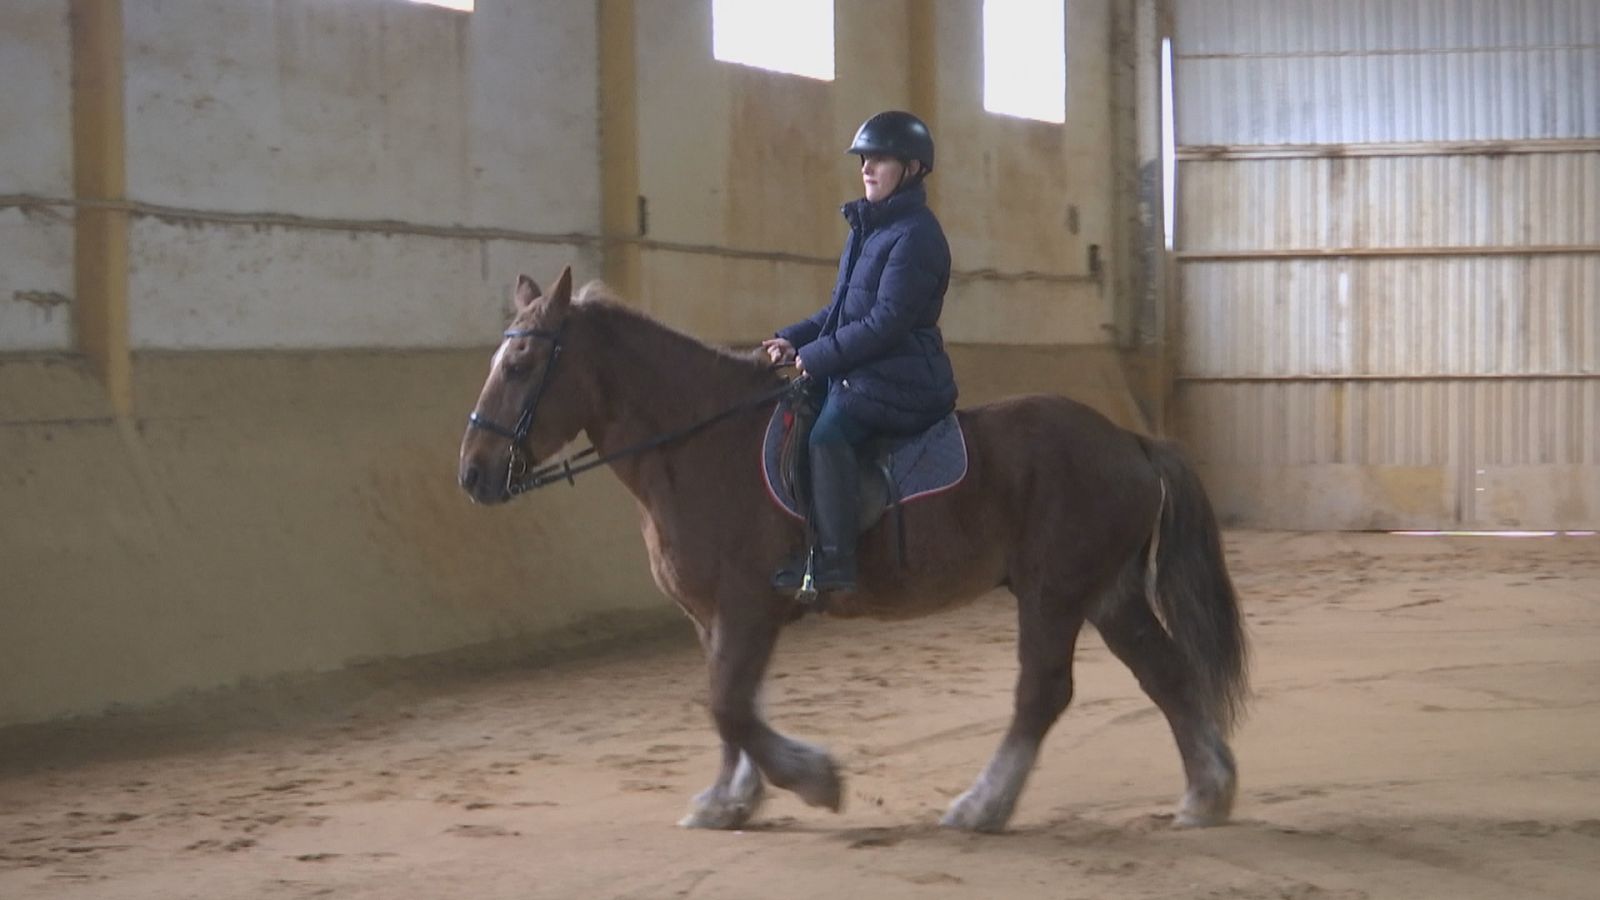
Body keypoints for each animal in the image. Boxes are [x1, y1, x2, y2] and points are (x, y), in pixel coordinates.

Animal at [457, 266, 1249, 833]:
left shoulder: (747, 604)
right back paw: (1206, 794)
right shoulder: (717, 615)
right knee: (1165, 674)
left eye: (520, 363)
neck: (701, 445)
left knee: (1043, 692)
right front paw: (728, 801)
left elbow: (728, 704)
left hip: (1054, 591)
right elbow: (734, 704)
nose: (472, 474)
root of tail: (1131, 441)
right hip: (1108, 592)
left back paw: (982, 806)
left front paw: (814, 780)